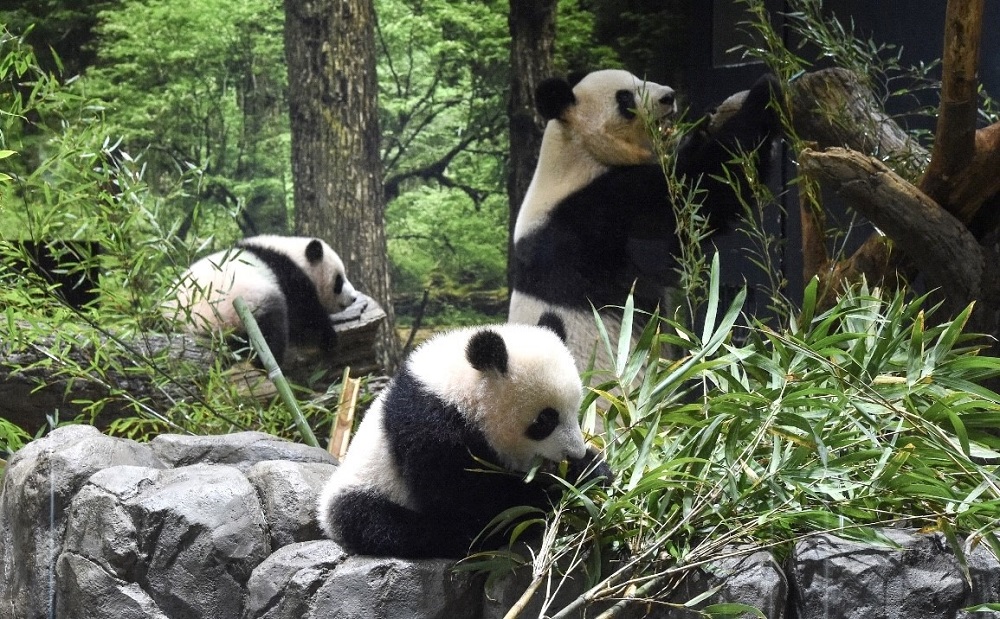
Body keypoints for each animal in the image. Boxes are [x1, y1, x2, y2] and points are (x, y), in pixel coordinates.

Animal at [161, 235, 356, 366]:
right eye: (339, 281)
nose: (353, 298)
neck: (291, 254)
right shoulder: (287, 276)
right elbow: (304, 312)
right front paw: (329, 337)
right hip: (242, 306)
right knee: (270, 327)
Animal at [316, 314, 612, 560]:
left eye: (576, 409)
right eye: (545, 420)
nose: (573, 452)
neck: (459, 390)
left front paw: (589, 469)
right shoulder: (430, 428)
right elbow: (468, 498)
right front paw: (549, 491)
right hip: (366, 489)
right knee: (379, 522)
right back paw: (460, 537)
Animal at [508, 69, 780, 368]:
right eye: (625, 97)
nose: (668, 97)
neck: (577, 153)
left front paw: (708, 121)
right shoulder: (596, 217)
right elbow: (700, 191)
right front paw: (765, 92)